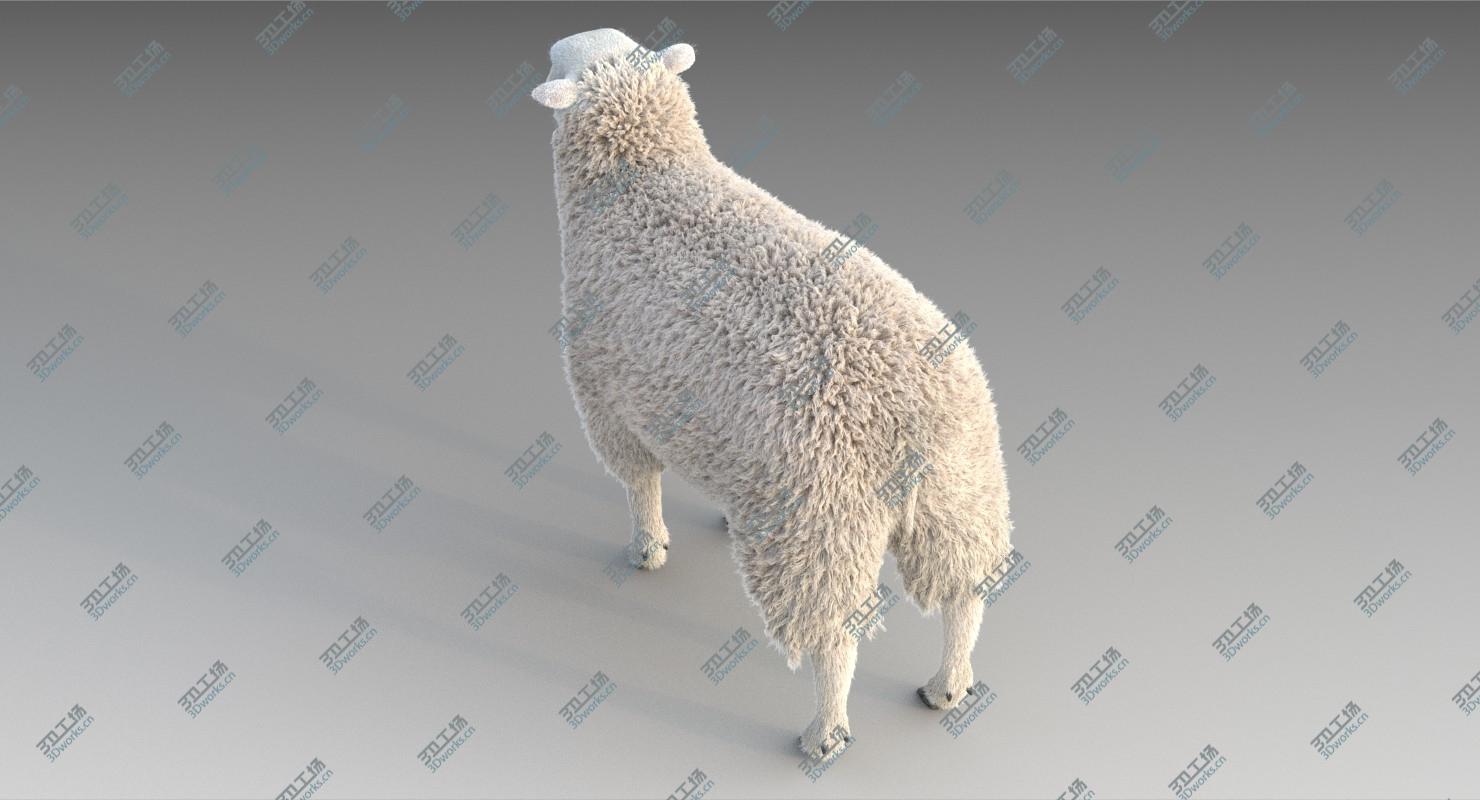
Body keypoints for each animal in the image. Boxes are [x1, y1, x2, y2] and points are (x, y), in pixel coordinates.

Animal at [533, 28, 1014, 759]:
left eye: (563, 61)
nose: (557, 41)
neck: (647, 174)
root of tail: (906, 416)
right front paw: (716, 517)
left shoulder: (609, 395)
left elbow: (640, 484)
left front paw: (647, 548)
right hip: (961, 489)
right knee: (964, 593)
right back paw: (948, 683)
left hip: (818, 524)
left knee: (833, 640)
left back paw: (824, 732)